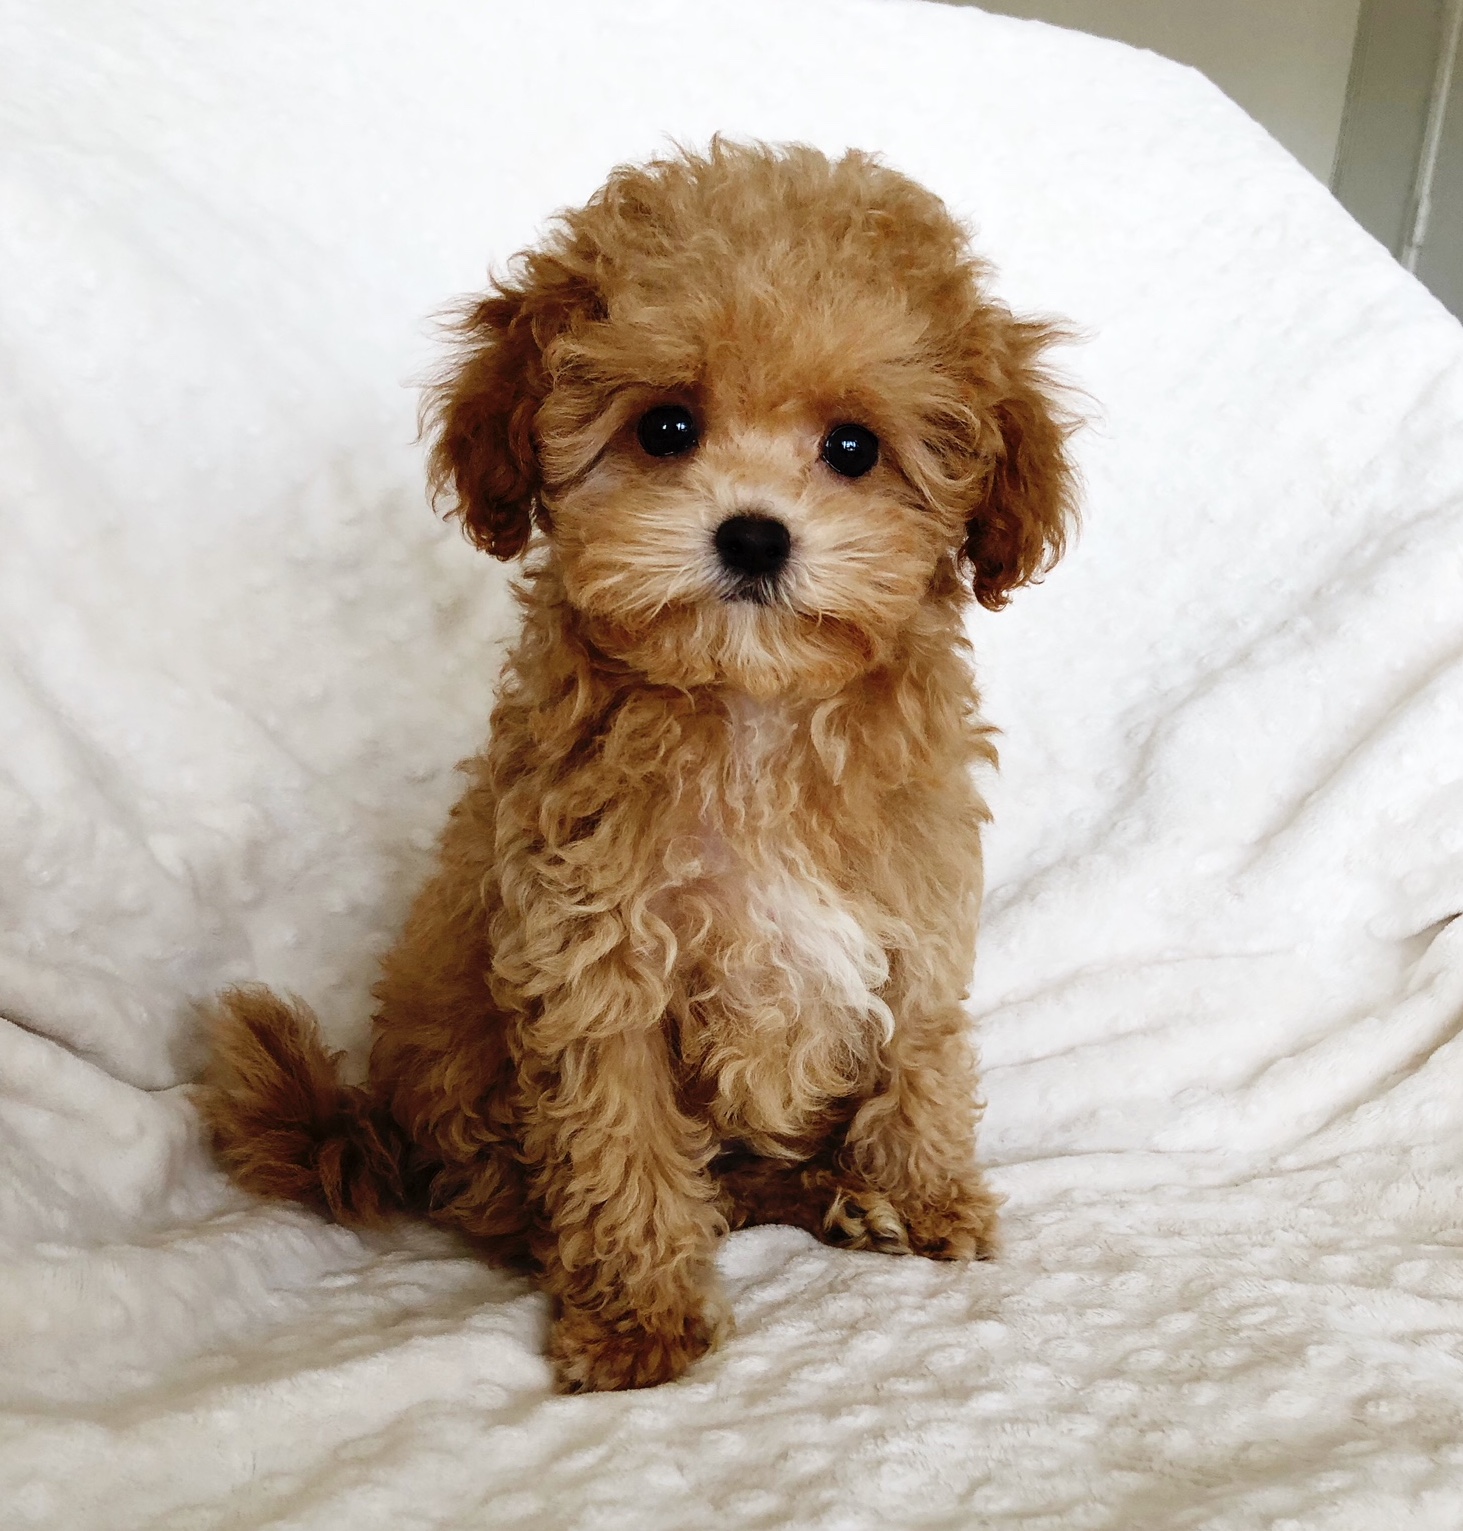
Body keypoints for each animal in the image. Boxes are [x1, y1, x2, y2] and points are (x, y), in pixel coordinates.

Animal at [197, 137, 1077, 1396]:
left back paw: (840, 1195)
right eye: (664, 429)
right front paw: (636, 1321)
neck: (752, 710)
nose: (753, 534)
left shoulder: (911, 907)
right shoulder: (590, 957)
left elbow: (919, 1052)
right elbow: (621, 1145)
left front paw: (924, 1196)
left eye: (852, 448)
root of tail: (384, 1132)